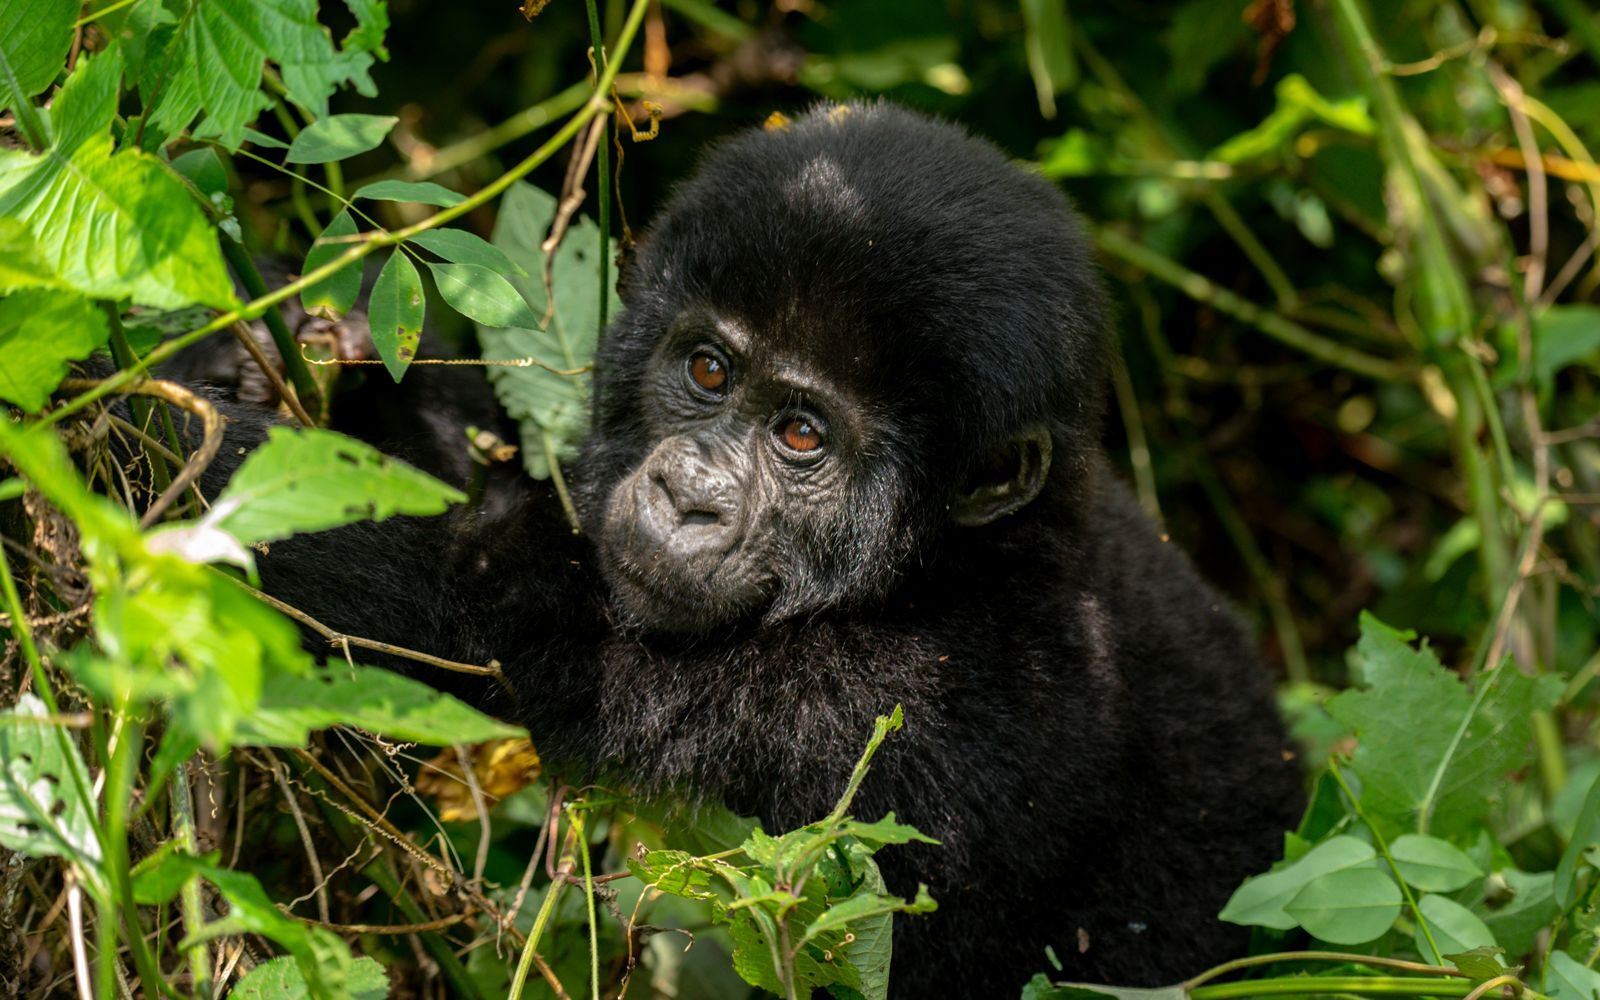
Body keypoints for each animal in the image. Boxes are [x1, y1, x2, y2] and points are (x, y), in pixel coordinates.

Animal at [246, 105, 1299, 992]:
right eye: (709, 370)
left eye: (801, 435)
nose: (685, 498)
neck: (966, 564)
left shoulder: (907, 718)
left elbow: (457, 622)